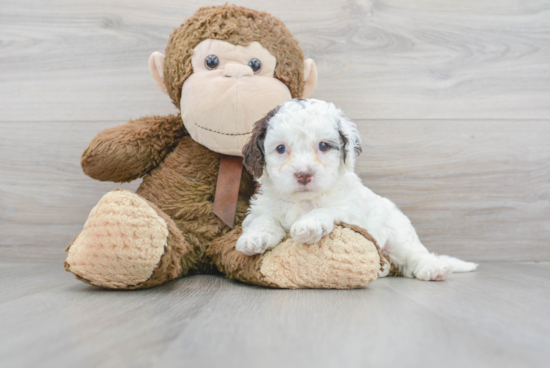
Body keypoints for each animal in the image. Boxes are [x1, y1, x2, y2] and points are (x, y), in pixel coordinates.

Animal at [237, 99, 478, 280]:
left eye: (323, 146)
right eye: (280, 149)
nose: (303, 174)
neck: (303, 200)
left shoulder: (351, 211)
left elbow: (329, 209)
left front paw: (310, 224)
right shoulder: (263, 209)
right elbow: (264, 220)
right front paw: (254, 238)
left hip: (398, 234)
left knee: (414, 253)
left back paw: (433, 267)